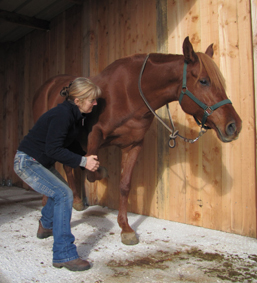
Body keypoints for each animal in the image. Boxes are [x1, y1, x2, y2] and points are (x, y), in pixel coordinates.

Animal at [32, 37, 240, 246]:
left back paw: (75, 201)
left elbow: (124, 185)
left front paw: (125, 228)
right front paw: (101, 174)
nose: (234, 126)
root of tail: (47, 86)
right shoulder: (94, 137)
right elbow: (92, 172)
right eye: (204, 81)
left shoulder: (133, 145)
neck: (129, 94)